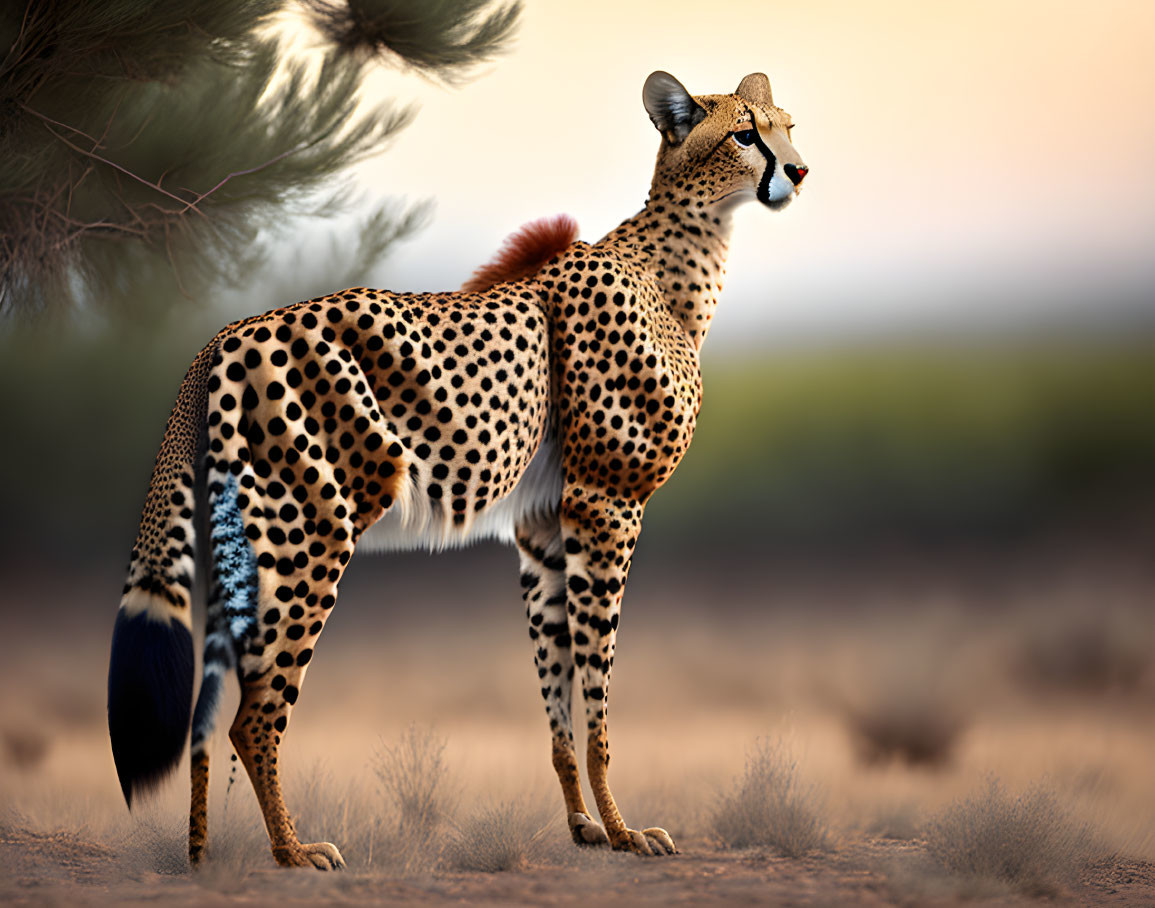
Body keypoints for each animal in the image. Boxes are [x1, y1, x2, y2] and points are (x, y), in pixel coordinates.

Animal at [110, 70, 813, 864]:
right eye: (744, 134)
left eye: (788, 127)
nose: (798, 171)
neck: (682, 258)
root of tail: (226, 330)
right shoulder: (607, 503)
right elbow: (597, 693)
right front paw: (623, 830)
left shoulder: (544, 524)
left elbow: (559, 687)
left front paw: (585, 828)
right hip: (310, 535)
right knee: (253, 716)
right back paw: (292, 853)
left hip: (244, 540)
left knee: (208, 706)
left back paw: (201, 856)